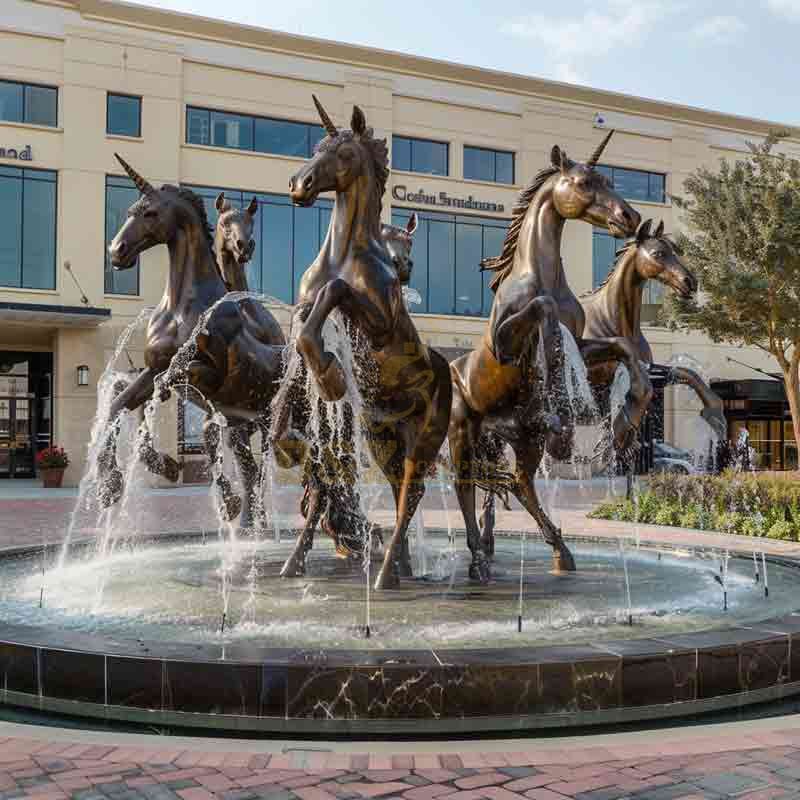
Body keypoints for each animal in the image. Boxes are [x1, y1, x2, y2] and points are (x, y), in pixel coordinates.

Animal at [284, 97, 454, 592]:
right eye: (316, 147)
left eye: (342, 153)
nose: (297, 185)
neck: (345, 253)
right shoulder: (300, 307)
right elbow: (303, 326)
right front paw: (326, 371)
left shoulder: (378, 322)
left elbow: (337, 290)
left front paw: (331, 375)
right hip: (383, 435)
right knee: (399, 490)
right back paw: (398, 570)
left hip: (425, 437)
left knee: (412, 491)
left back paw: (384, 574)